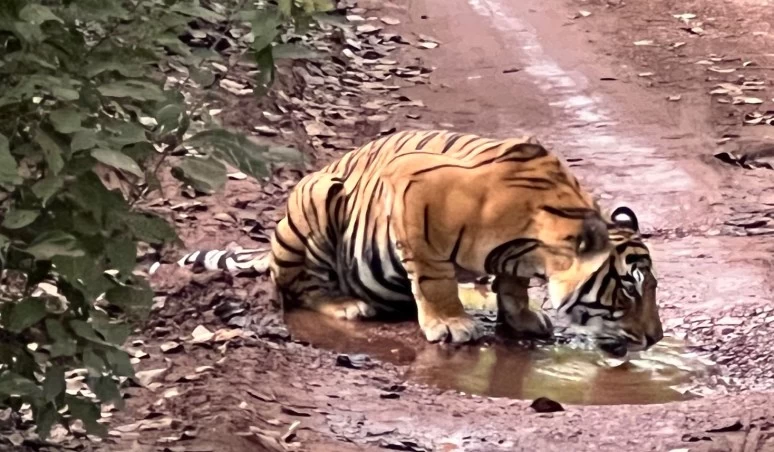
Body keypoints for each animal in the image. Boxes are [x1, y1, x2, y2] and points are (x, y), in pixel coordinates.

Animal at [174, 130, 663, 352]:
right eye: (629, 289)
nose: (656, 338)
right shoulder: (415, 190)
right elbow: (433, 277)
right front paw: (450, 323)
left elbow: (513, 284)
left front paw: (521, 316)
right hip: (315, 200)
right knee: (295, 286)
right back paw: (348, 304)